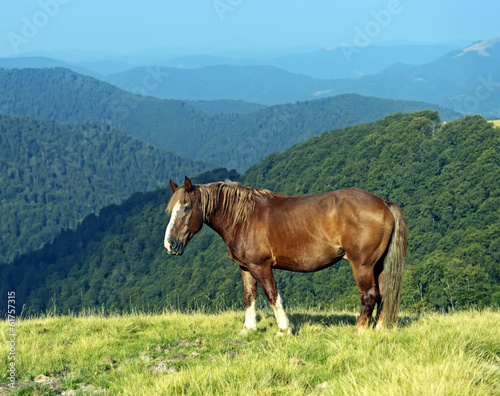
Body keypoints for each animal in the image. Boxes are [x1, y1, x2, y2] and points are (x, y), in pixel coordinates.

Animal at [164, 176, 406, 334]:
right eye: (171, 209)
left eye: (186, 207)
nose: (170, 244)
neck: (243, 218)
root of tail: (383, 203)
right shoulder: (246, 267)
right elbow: (249, 297)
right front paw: (248, 328)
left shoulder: (261, 266)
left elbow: (272, 295)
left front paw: (284, 329)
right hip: (378, 265)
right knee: (383, 294)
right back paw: (379, 329)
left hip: (362, 265)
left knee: (369, 295)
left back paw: (359, 332)